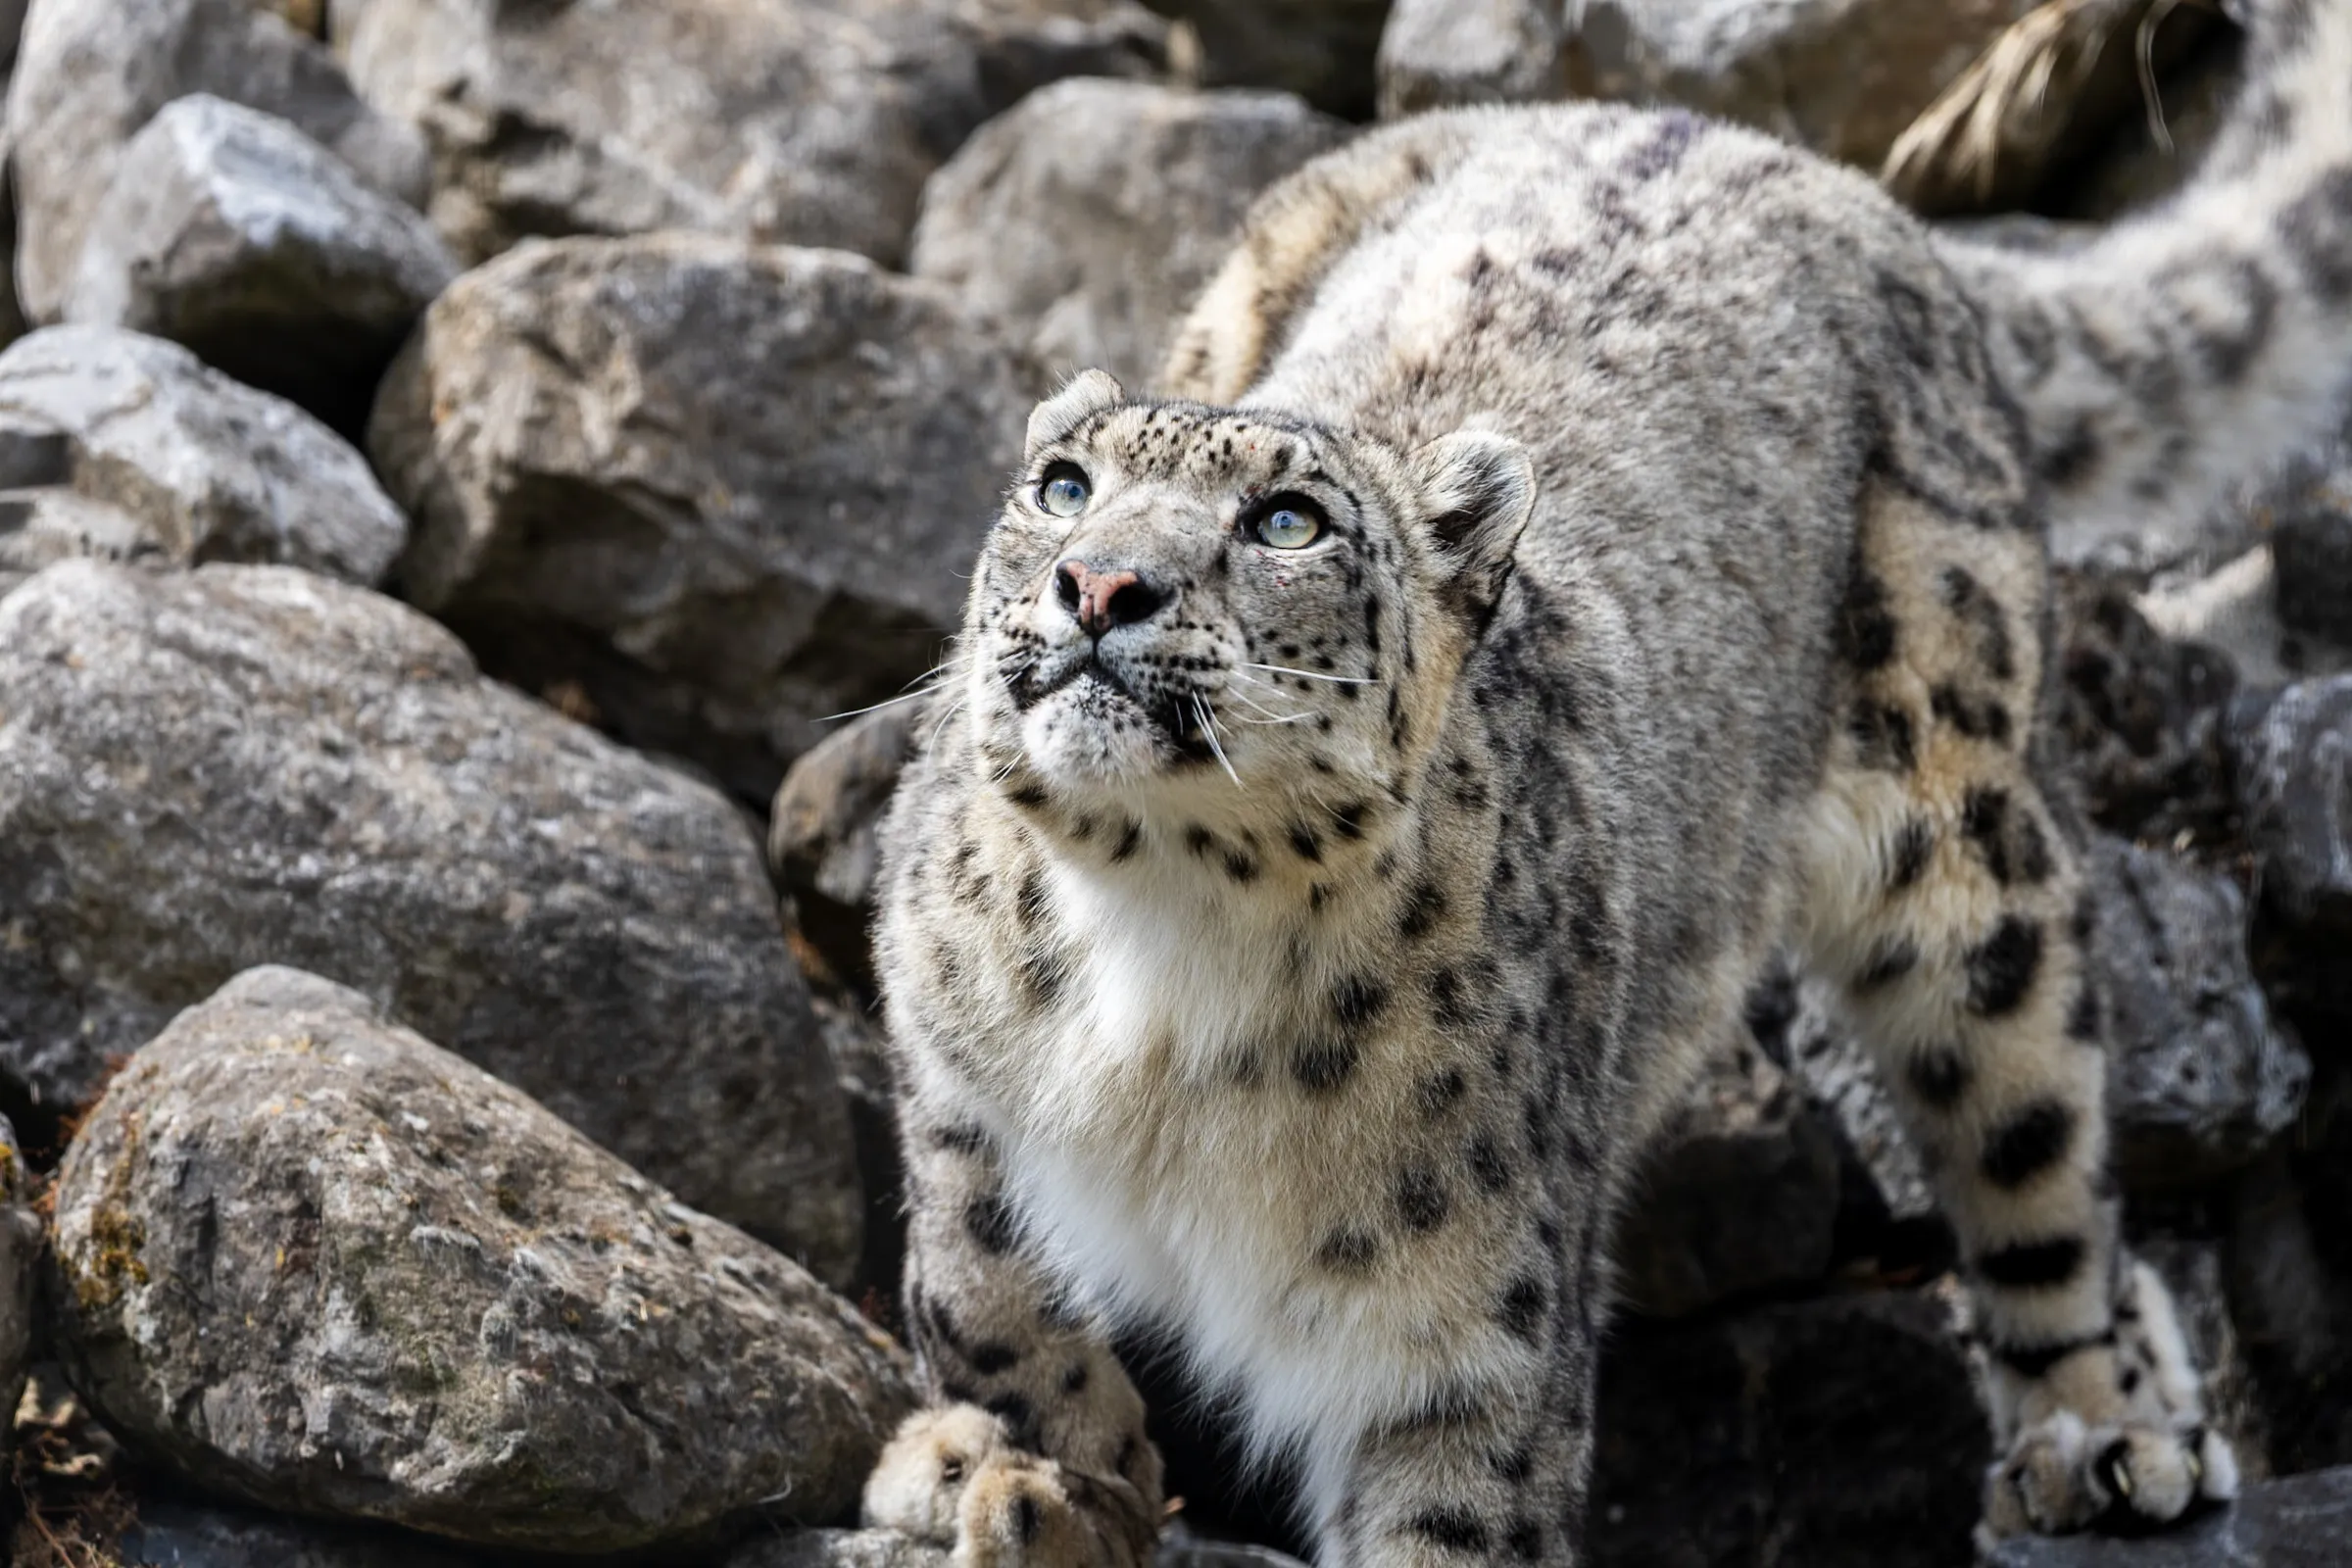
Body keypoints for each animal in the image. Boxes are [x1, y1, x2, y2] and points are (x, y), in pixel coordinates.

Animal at [863, 0, 2352, 1560]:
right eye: (1064, 487)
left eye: (1288, 521)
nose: (1101, 584)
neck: (1156, 956)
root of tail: (1811, 169)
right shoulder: (939, 1026)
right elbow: (976, 1277)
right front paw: (1031, 1476)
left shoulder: (1457, 1329)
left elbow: (1454, 1513)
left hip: (1970, 828)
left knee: (2037, 1127)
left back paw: (2109, 1431)